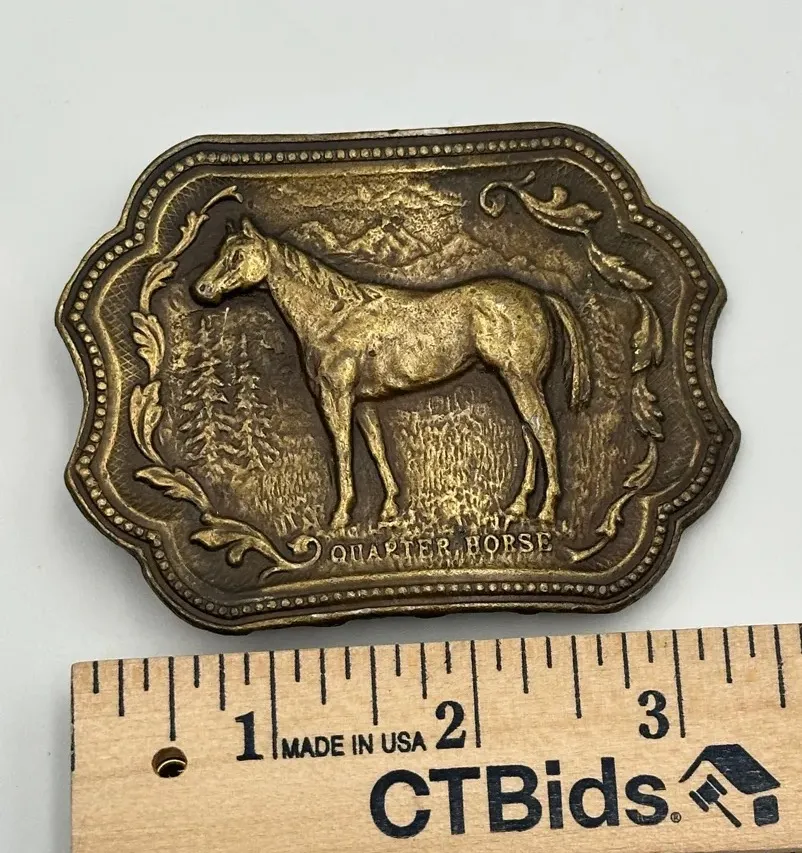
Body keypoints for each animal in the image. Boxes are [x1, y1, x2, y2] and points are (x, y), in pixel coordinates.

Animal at [192, 218, 591, 530]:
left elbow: (342, 448)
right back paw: (519, 506)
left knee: (545, 432)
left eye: (236, 255)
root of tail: (540, 296)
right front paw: (389, 509)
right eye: (221, 252)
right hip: (514, 382)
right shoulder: (364, 402)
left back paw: (547, 512)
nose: (201, 289)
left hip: (521, 380)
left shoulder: (336, 396)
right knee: (530, 435)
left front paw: (341, 516)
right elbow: (376, 447)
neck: (333, 317)